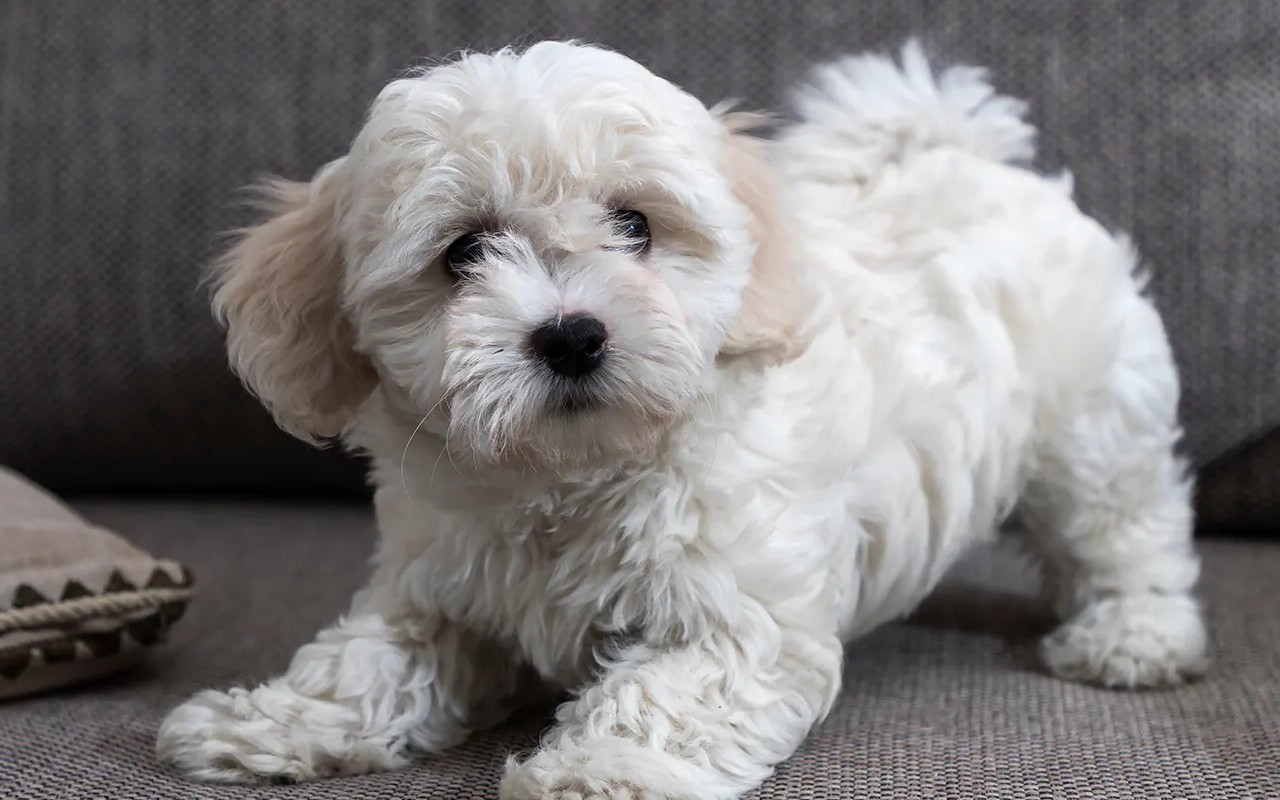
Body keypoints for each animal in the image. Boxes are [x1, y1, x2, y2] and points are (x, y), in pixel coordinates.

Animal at [154, 40, 1203, 793]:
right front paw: (264, 724)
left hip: (1094, 429)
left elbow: (668, 692)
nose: (572, 335)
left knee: (1124, 532)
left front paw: (595, 770)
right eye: (464, 254)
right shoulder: (433, 589)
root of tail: (966, 155)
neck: (569, 475)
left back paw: (1134, 636)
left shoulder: (738, 615)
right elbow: (367, 667)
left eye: (635, 225)